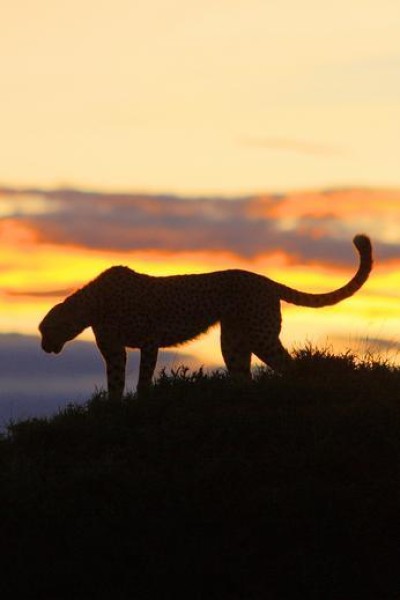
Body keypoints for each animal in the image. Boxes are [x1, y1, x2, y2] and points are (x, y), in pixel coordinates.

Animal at [38, 234, 372, 398]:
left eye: (45, 330)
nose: (43, 346)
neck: (92, 304)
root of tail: (264, 279)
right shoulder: (115, 350)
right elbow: (115, 382)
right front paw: (114, 408)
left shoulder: (149, 340)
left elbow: (144, 377)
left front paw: (141, 401)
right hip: (234, 342)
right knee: (243, 375)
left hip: (261, 335)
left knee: (290, 366)